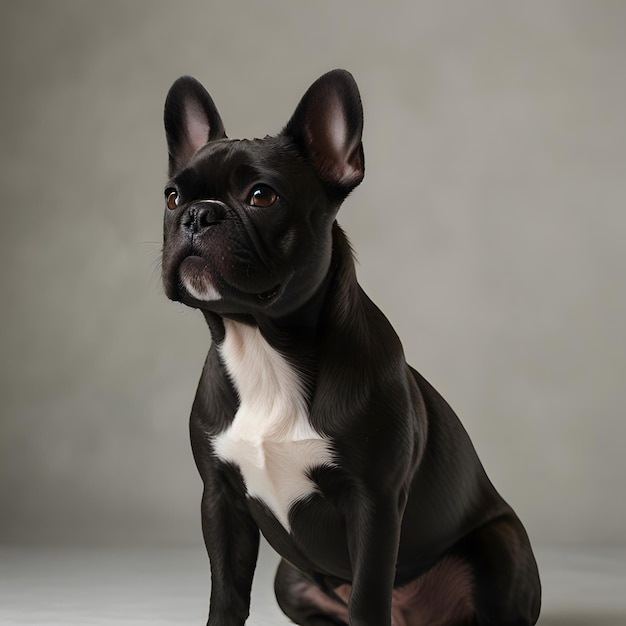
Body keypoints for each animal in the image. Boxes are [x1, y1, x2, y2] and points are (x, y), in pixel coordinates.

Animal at [161, 69, 540, 624]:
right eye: (171, 198)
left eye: (261, 196)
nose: (198, 215)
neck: (264, 349)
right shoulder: (220, 498)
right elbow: (226, 592)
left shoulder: (374, 503)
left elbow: (367, 597)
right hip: (289, 578)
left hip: (499, 546)